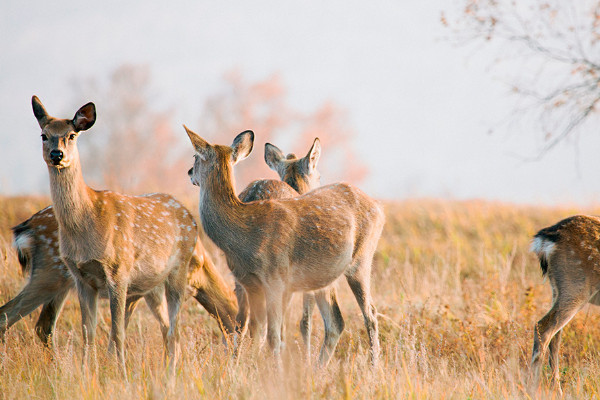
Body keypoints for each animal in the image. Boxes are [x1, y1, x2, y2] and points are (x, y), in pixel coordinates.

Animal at [31, 97, 195, 372]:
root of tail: (189, 215)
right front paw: (87, 372)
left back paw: (171, 373)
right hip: (149, 285)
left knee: (175, 330)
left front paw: (122, 373)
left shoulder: (118, 270)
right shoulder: (81, 277)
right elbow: (88, 332)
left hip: (179, 268)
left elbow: (117, 333)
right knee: (167, 328)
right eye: (44, 135)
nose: (56, 155)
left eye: (72, 135)